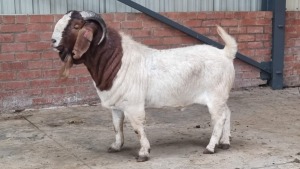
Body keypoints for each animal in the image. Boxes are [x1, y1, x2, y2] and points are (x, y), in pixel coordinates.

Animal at [52, 10, 239, 162]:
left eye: (76, 26)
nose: (53, 41)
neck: (117, 59)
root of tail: (225, 53)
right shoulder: (116, 106)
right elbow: (117, 126)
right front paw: (116, 146)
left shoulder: (133, 105)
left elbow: (137, 128)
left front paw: (143, 153)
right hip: (220, 97)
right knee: (228, 113)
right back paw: (225, 142)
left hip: (215, 97)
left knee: (219, 118)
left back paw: (210, 147)